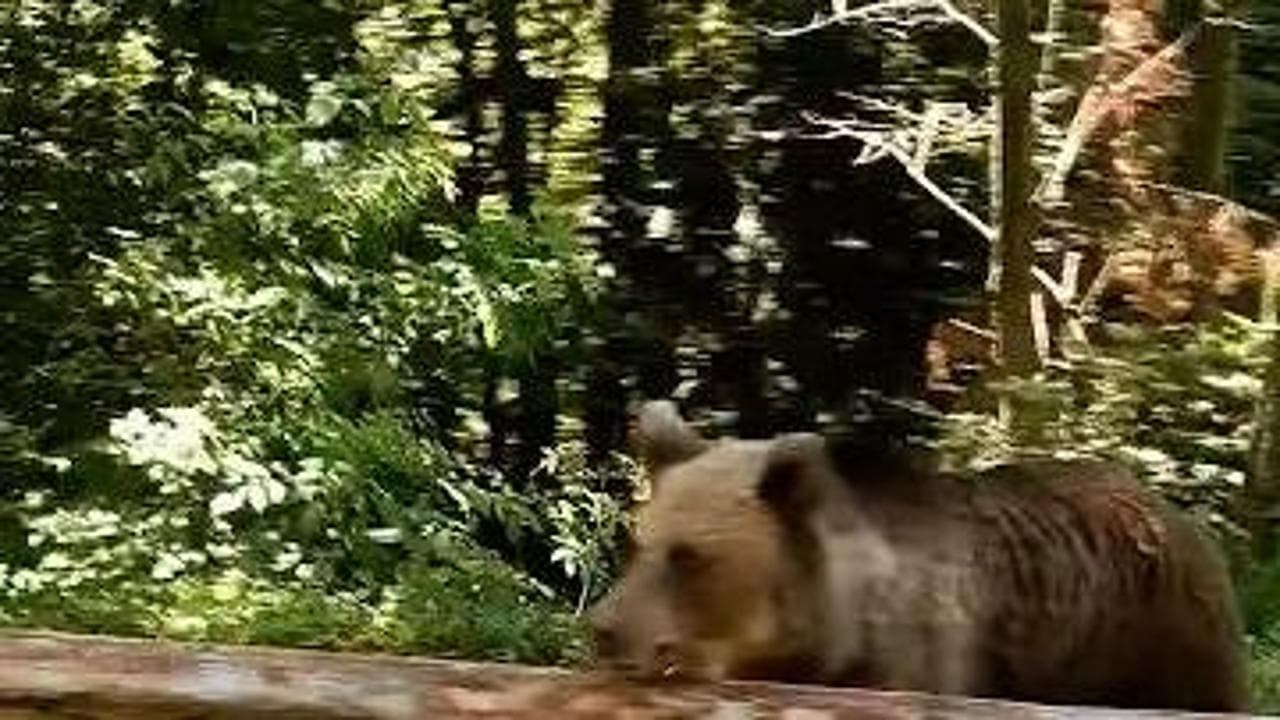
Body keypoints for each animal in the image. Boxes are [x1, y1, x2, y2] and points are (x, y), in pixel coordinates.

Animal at [588, 400, 1248, 713]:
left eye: (690, 557)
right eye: (637, 544)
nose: (605, 629)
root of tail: (1161, 503)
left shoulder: (913, 667)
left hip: (1160, 641)